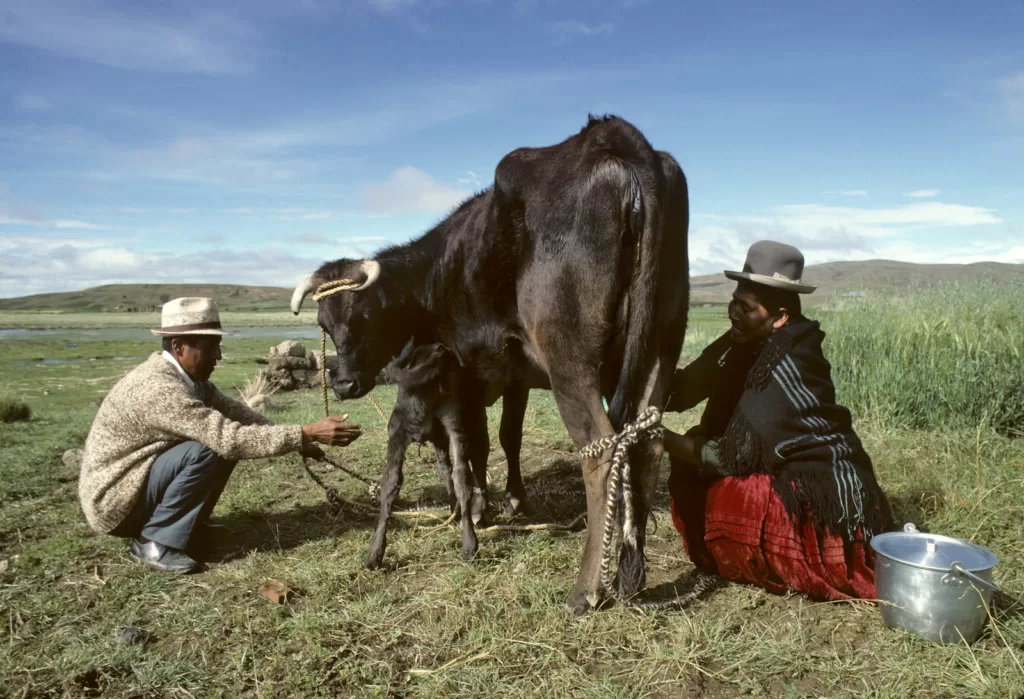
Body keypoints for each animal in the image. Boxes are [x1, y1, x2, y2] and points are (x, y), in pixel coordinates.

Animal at [290, 116, 688, 614]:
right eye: (323, 323)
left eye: (363, 315)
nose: (342, 384)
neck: (433, 278)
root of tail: (609, 135)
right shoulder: (511, 375)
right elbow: (503, 437)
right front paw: (505, 500)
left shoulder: (464, 377)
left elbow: (470, 444)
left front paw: (475, 507)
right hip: (660, 346)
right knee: (648, 443)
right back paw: (631, 574)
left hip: (569, 359)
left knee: (601, 451)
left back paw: (585, 590)